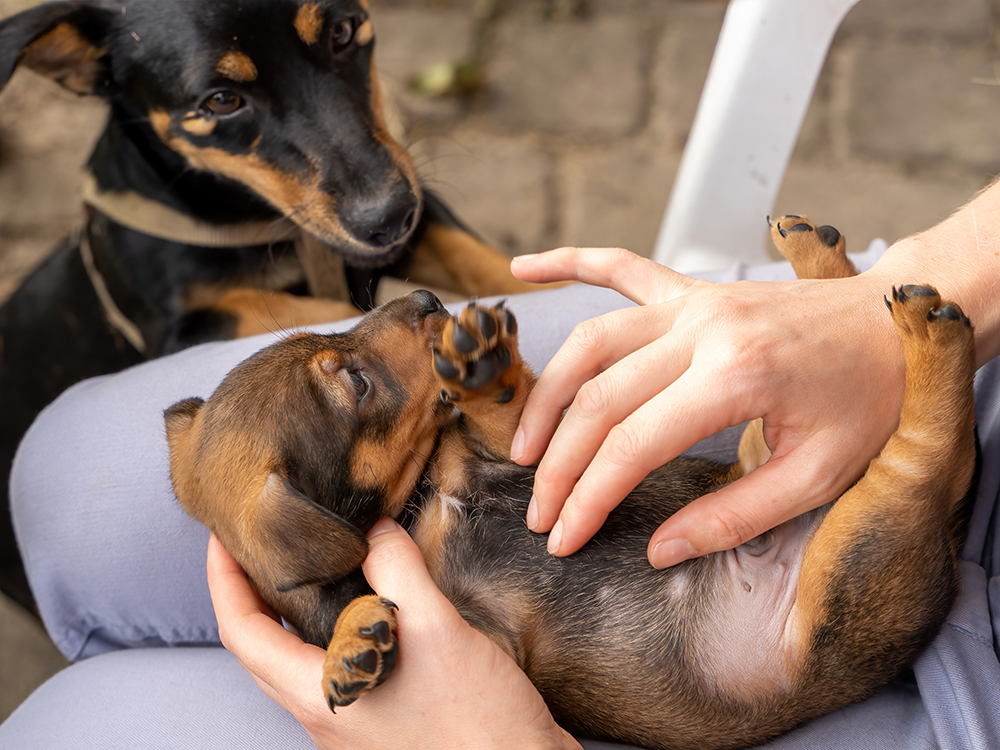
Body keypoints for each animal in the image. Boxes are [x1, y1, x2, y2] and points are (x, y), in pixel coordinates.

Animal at [0, 0, 540, 612]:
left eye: (342, 32)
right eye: (220, 101)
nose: (391, 217)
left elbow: (487, 262)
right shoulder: (187, 324)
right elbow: (318, 308)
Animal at [164, 220, 976, 748]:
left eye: (334, 338)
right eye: (354, 382)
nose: (426, 299)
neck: (424, 501)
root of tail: (948, 541)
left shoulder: (519, 447)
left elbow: (505, 407)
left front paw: (481, 364)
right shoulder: (484, 637)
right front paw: (350, 640)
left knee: (935, 444)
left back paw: (856, 279)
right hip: (847, 543)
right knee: (936, 453)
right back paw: (908, 314)